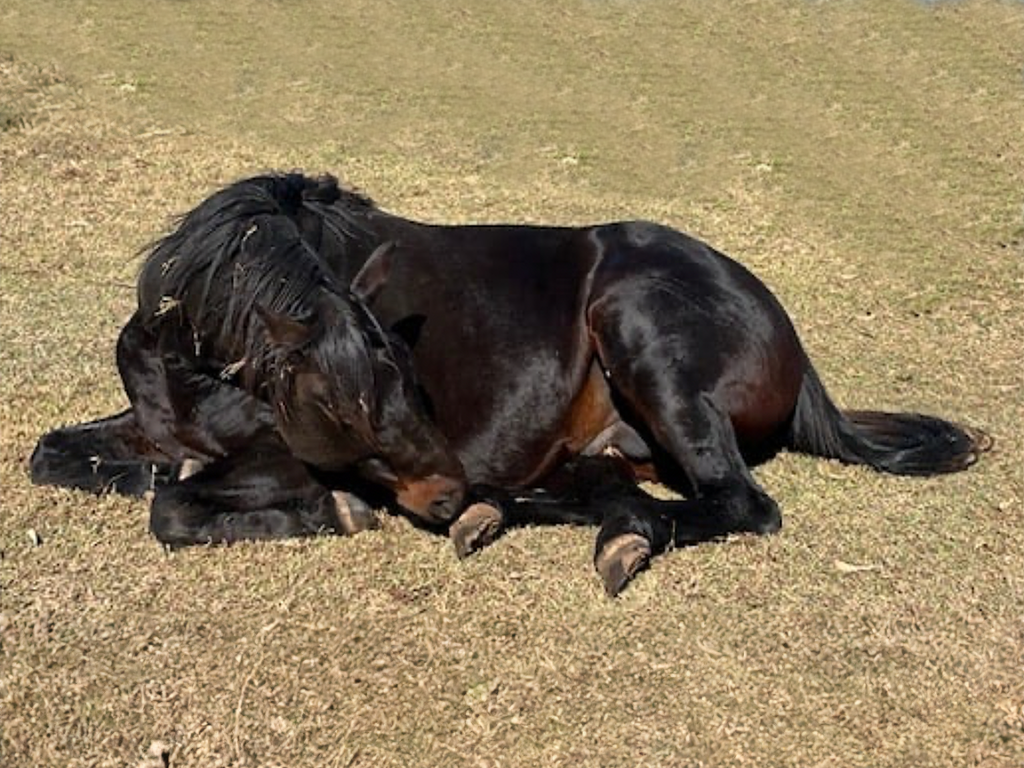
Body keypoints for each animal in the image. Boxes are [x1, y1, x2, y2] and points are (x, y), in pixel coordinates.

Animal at [32, 172, 988, 594]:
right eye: (345, 403)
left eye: (403, 384)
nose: (444, 492)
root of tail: (784, 328)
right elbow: (57, 456)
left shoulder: (288, 459)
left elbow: (173, 509)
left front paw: (328, 512)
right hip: (611, 442)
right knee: (603, 488)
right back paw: (514, 518)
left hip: (644, 337)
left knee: (737, 504)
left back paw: (597, 536)